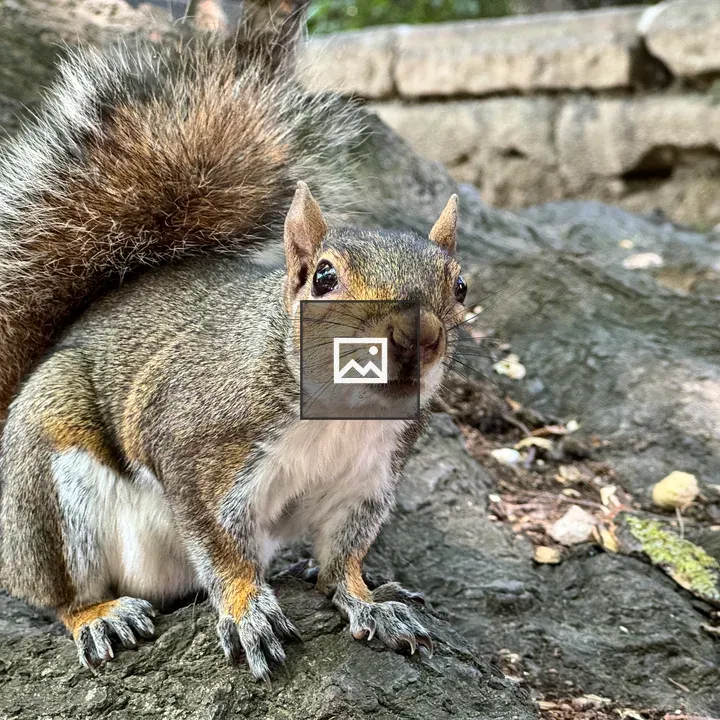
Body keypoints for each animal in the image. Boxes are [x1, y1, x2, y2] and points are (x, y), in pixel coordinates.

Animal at [0, 0, 467, 680]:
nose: (418, 335)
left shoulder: (369, 479)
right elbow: (220, 545)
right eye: (324, 278)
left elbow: (346, 556)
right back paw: (101, 616)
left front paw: (368, 600)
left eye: (460, 286)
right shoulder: (194, 442)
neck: (341, 412)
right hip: (48, 485)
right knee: (60, 594)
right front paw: (248, 609)